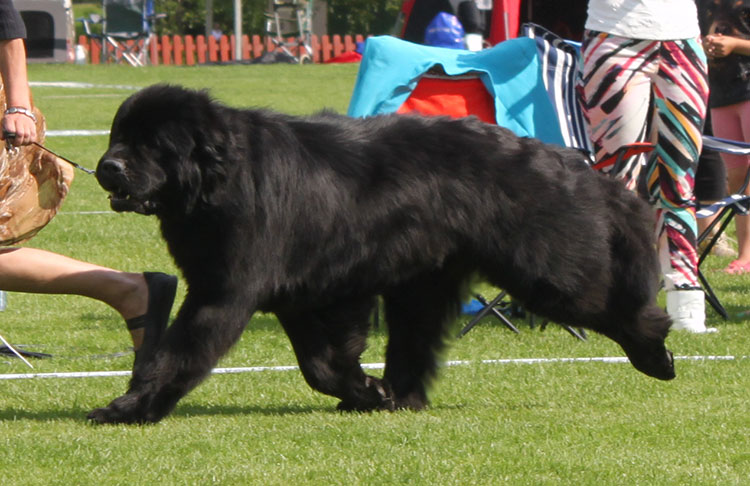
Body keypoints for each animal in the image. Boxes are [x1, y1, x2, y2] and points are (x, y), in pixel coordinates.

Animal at [89, 84, 674, 424]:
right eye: (118, 136)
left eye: (151, 144)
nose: (107, 167)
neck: (217, 178)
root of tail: (566, 160)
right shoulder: (308, 294)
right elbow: (321, 362)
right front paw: (366, 392)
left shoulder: (225, 292)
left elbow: (177, 353)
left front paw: (129, 408)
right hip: (422, 287)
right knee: (415, 343)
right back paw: (402, 397)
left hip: (545, 269)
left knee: (607, 300)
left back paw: (655, 353)